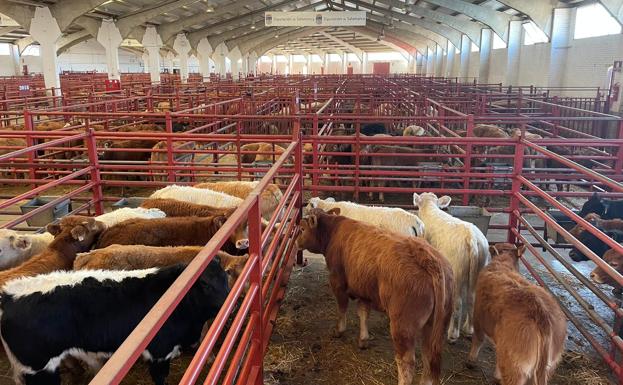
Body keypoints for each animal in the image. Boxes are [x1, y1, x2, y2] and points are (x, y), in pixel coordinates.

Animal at [0, 260, 229, 384]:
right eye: (205, 285)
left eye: (226, 279)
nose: (229, 300)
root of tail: (9, 294)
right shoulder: (159, 351)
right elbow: (160, 377)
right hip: (38, 367)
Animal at [298, 207, 454, 384]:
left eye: (301, 229)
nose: (295, 242)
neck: (333, 231)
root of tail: (428, 257)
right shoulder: (364, 290)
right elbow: (363, 313)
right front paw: (363, 339)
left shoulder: (337, 281)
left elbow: (342, 308)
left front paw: (339, 330)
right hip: (435, 327)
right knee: (429, 360)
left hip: (402, 326)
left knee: (406, 362)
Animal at [414, 192, 492, 342]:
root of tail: (471, 238)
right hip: (479, 269)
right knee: (472, 299)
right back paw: (469, 329)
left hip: (457, 273)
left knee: (458, 303)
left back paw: (452, 333)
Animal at [468, 243, 572, 384]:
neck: (504, 264)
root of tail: (540, 312)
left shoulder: (478, 316)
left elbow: (478, 339)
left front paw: (471, 360)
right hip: (548, 366)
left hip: (515, 365)